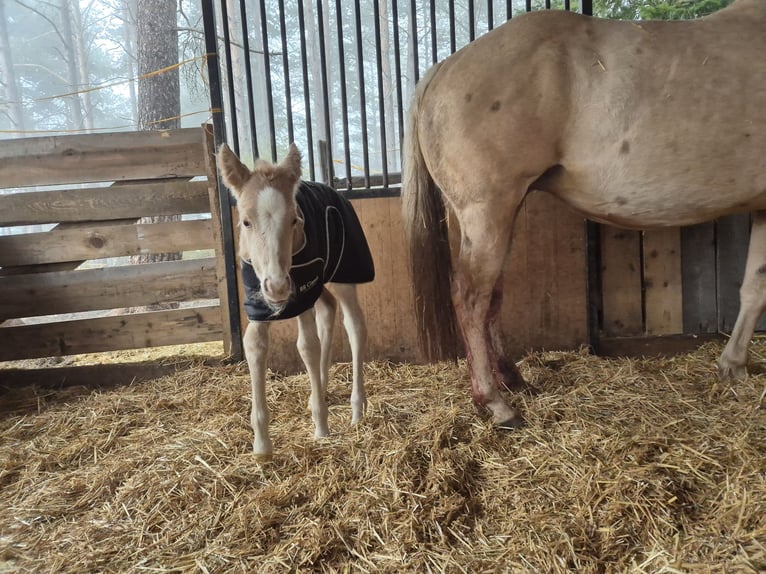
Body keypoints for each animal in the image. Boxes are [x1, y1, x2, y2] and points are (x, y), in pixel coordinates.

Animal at [218, 145, 376, 460]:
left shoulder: (301, 296)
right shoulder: (259, 304)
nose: (278, 286)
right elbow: (255, 346)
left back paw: (356, 410)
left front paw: (321, 429)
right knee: (327, 310)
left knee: (354, 326)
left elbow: (307, 346)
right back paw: (321, 390)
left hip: (343, 273)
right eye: (245, 221)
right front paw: (262, 446)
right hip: (317, 285)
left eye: (294, 220)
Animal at [402, 0, 766, 432]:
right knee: (472, 298)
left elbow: (753, 287)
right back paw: (496, 403)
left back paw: (513, 380)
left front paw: (733, 365)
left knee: (492, 298)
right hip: (487, 211)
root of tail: (442, 69)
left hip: (503, 214)